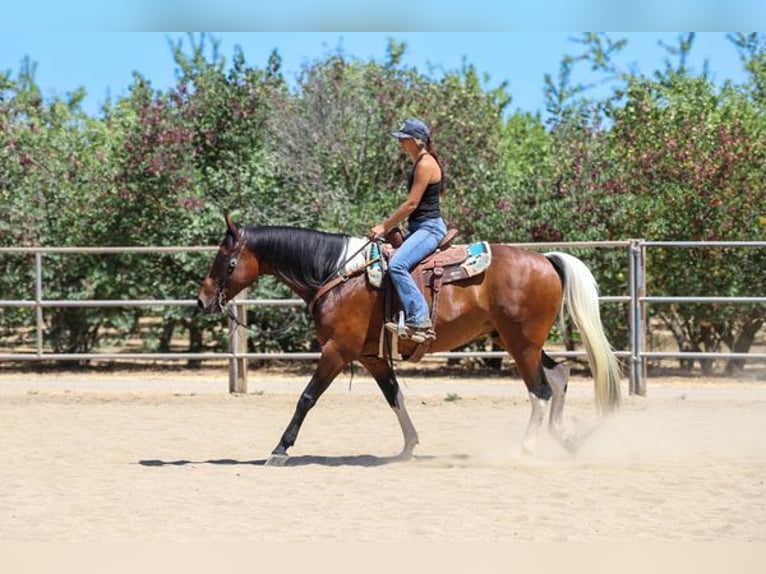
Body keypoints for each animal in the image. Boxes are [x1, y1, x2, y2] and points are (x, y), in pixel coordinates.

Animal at [195, 212, 620, 468]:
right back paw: (566, 439)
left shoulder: (337, 351)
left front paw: (280, 449)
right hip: (517, 340)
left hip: (521, 344)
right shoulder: (371, 356)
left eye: (225, 261)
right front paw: (409, 445)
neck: (337, 274)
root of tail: (545, 260)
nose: (202, 300)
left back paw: (527, 449)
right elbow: (394, 396)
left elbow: (307, 398)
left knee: (541, 390)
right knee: (560, 375)